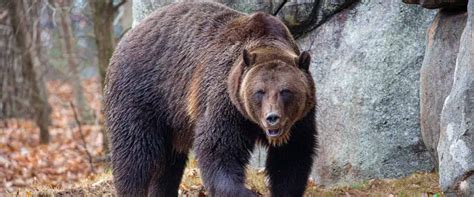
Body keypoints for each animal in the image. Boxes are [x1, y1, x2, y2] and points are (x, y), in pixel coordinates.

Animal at [105, 1, 316, 197]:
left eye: (285, 91)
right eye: (260, 91)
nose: (272, 118)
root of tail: (128, 35)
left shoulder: (300, 120)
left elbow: (292, 158)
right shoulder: (225, 102)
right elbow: (218, 150)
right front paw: (246, 192)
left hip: (172, 120)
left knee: (169, 164)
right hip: (143, 94)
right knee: (135, 153)